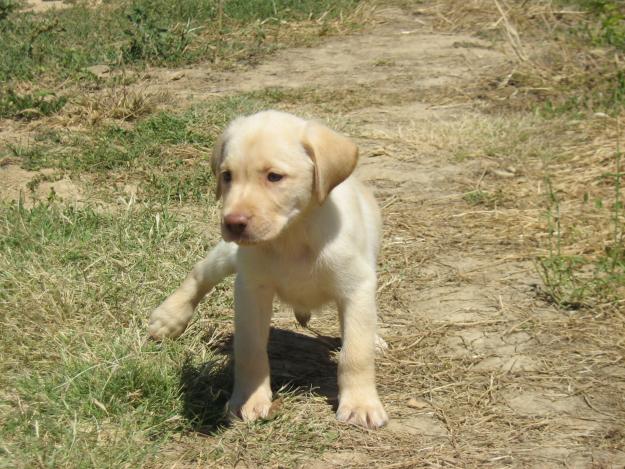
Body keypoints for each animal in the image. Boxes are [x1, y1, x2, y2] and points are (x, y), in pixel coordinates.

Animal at [149, 109, 388, 428]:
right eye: (227, 176)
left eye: (274, 176)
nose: (232, 222)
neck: (293, 236)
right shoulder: (251, 289)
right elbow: (250, 351)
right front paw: (248, 399)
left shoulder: (356, 287)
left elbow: (356, 352)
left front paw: (360, 403)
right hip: (230, 255)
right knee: (200, 272)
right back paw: (169, 318)